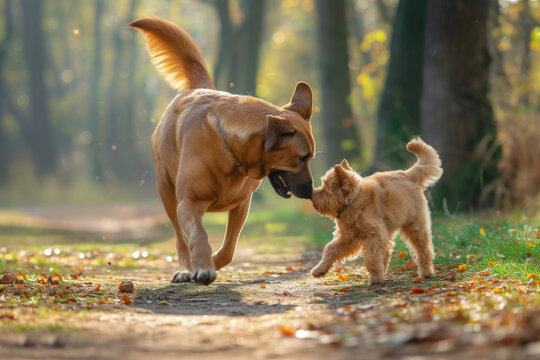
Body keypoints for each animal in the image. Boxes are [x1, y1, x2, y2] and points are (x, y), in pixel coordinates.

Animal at [130, 18, 316, 286]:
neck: (232, 150)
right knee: (181, 240)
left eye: (310, 158)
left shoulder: (242, 206)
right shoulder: (188, 203)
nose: (311, 192)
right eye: (301, 158)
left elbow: (229, 249)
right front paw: (202, 267)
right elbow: (198, 235)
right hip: (166, 191)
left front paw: (212, 262)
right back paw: (185, 268)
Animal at [310, 139, 440, 284]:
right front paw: (319, 269)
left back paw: (426, 272)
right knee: (388, 250)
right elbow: (330, 249)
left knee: (423, 249)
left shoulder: (374, 234)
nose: (311, 195)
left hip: (415, 225)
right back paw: (383, 270)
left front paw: (375, 277)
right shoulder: (348, 237)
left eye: (325, 188)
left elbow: (371, 257)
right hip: (390, 227)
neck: (353, 201)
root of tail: (408, 174)